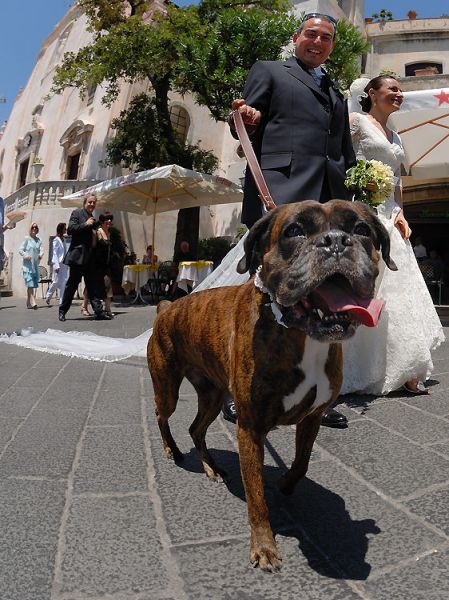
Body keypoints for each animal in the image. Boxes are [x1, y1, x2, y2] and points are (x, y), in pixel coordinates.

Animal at [147, 200, 396, 572]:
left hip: (213, 394)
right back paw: (172, 451)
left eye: (362, 229)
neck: (300, 334)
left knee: (196, 428)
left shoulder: (311, 418)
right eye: (294, 231)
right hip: (168, 387)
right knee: (162, 416)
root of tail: (166, 306)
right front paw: (264, 546)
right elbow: (256, 496)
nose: (336, 241)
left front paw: (286, 484)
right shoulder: (250, 429)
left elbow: (302, 462)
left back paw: (210, 466)